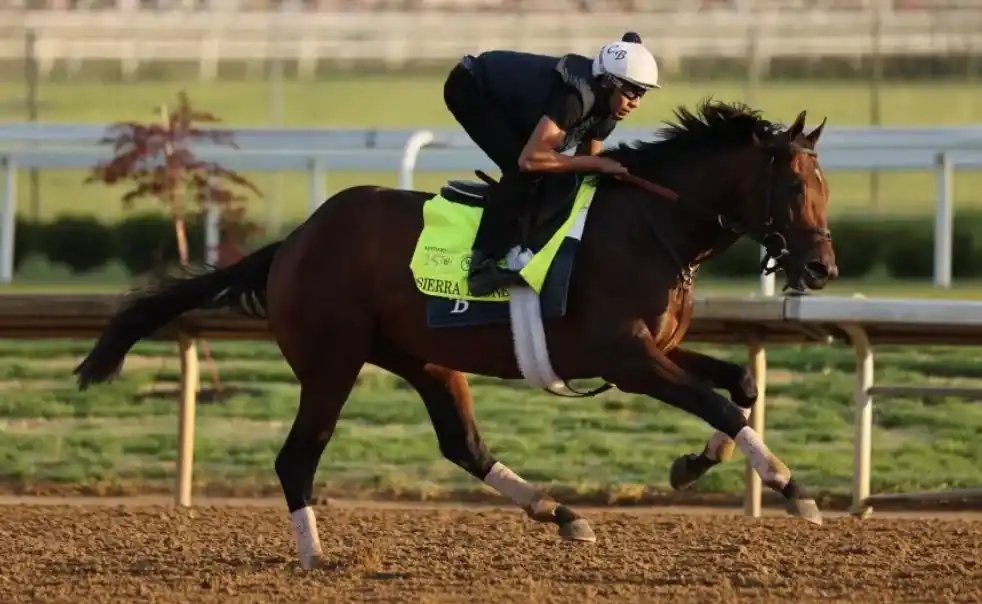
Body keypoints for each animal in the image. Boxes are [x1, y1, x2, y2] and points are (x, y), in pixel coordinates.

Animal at [75, 98, 836, 568]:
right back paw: (315, 555)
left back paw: (560, 512)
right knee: (297, 459)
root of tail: (293, 241)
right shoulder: (625, 356)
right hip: (331, 363)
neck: (649, 226)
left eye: (825, 190)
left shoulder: (655, 349)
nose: (822, 267)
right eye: (796, 189)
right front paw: (791, 487)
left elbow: (737, 387)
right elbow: (717, 403)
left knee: (462, 445)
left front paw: (695, 463)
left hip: (425, 360)